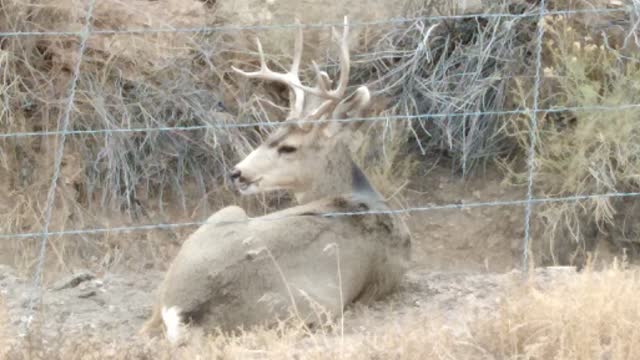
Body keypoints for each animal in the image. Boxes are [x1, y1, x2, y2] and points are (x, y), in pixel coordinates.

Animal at [139, 16, 410, 344]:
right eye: (272, 132)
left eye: (288, 147)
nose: (237, 173)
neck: (364, 196)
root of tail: (182, 311)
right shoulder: (387, 277)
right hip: (312, 303)